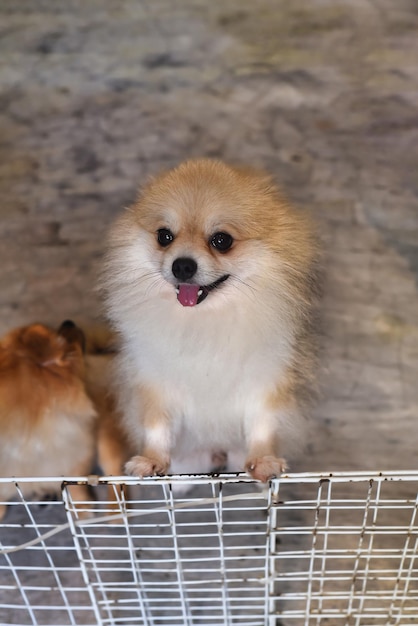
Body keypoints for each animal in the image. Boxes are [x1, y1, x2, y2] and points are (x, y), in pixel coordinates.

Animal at [102, 158, 320, 480]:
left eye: (222, 240)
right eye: (164, 236)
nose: (182, 265)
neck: (203, 323)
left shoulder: (265, 380)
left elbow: (263, 424)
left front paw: (264, 459)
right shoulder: (155, 382)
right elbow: (156, 426)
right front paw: (150, 459)